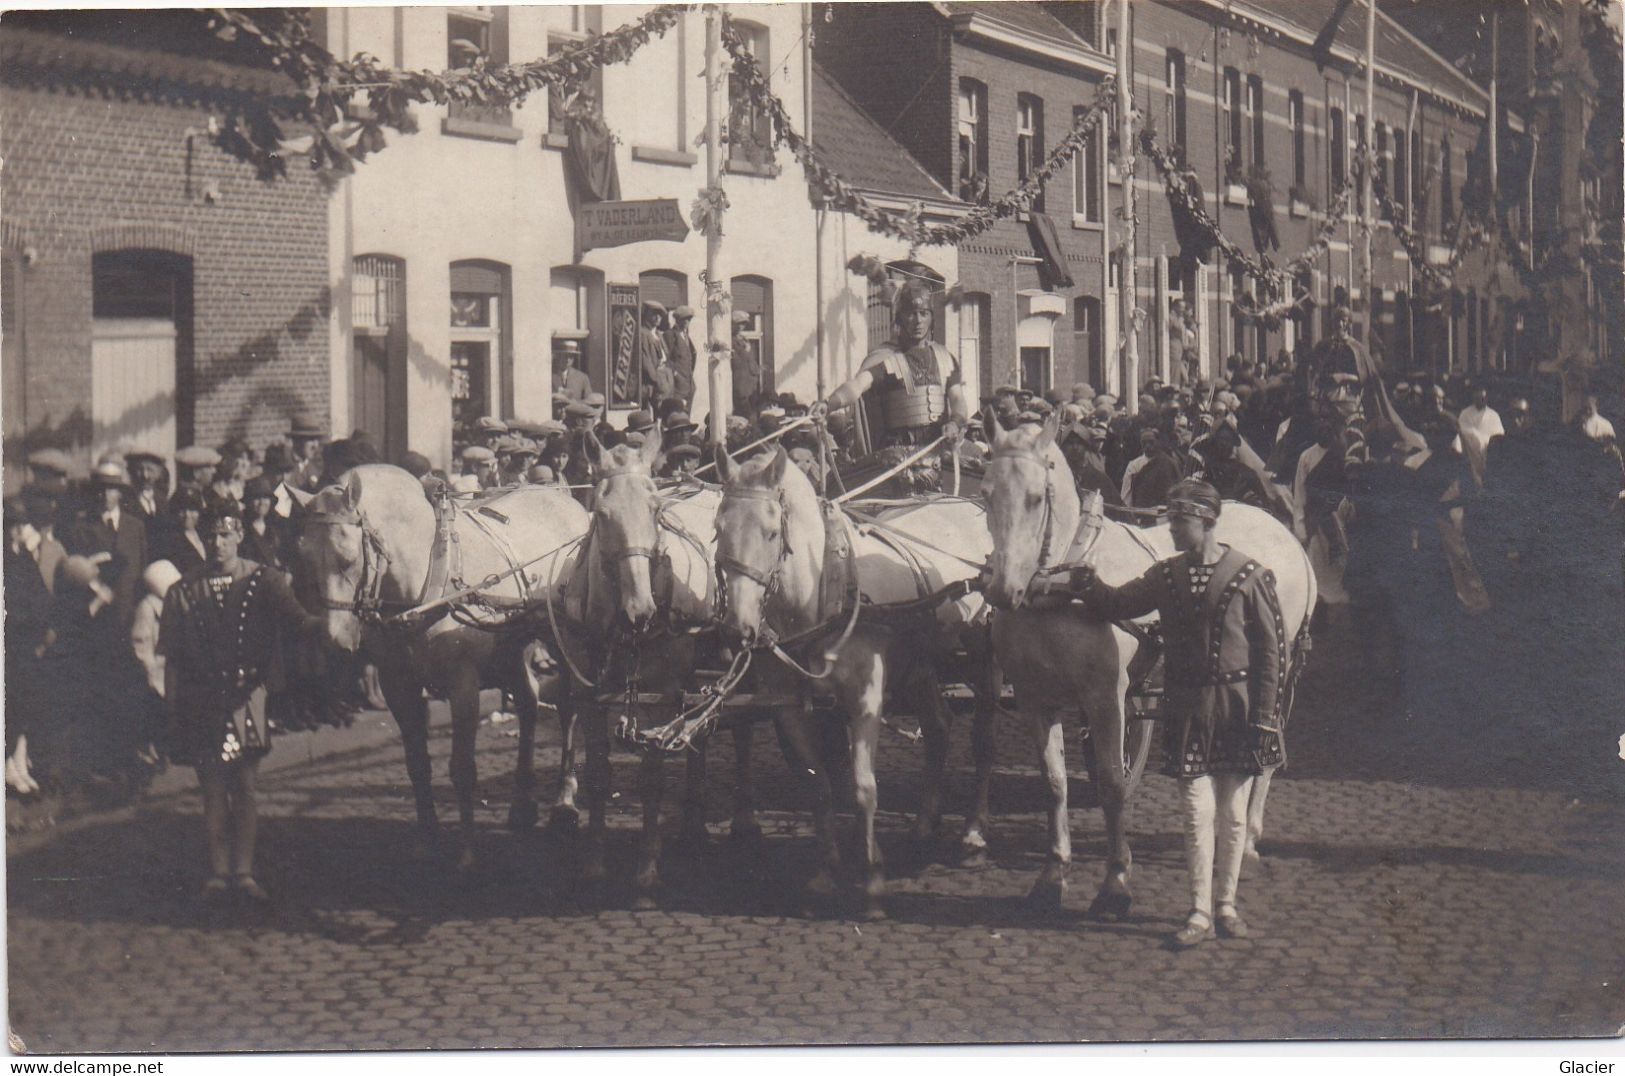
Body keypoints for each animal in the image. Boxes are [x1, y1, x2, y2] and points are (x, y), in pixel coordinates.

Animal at [294, 468, 591, 871]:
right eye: (304, 559)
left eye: (347, 558)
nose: (334, 640)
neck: (426, 578)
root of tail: (565, 497)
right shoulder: (397, 685)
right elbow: (417, 764)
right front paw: (427, 840)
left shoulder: (462, 682)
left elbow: (462, 768)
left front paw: (466, 852)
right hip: (510, 645)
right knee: (529, 701)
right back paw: (522, 803)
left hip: (563, 639)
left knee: (568, 706)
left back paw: (564, 801)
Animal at [711, 442, 988, 916]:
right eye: (718, 527)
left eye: (771, 532)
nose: (737, 629)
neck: (821, 591)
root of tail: (970, 503)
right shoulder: (790, 709)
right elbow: (819, 785)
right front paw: (827, 872)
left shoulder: (865, 702)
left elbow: (863, 788)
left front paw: (873, 879)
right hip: (918, 665)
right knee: (939, 726)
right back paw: (923, 821)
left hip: (987, 661)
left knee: (984, 736)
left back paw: (972, 832)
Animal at [981, 412, 1313, 916]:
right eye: (985, 493)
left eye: (1036, 497)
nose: (1003, 591)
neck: (1056, 589)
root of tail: (1284, 532)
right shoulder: (1034, 699)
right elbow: (1054, 784)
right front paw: (1053, 875)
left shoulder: (1106, 699)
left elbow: (1113, 786)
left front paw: (1116, 882)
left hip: (1274, 664)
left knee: (1265, 744)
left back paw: (1250, 836)